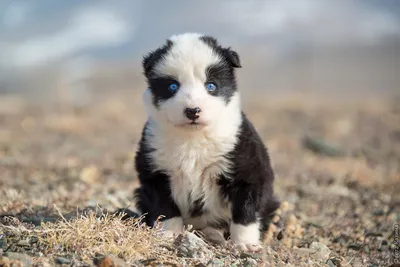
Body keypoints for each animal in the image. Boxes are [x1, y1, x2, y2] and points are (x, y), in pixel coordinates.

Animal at [133, 33, 280, 253]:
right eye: (172, 86)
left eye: (211, 86)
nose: (192, 110)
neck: (193, 138)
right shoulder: (155, 171)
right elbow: (165, 208)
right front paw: (169, 234)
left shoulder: (248, 170)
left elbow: (245, 211)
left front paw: (245, 244)